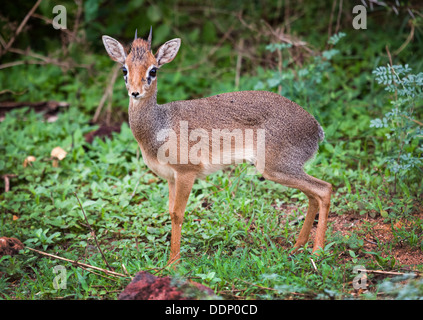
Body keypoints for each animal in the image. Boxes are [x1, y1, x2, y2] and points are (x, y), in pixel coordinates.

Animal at [102, 29, 332, 264]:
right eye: (124, 69)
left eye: (153, 70)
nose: (135, 92)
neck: (160, 125)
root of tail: (317, 128)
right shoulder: (170, 177)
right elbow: (170, 212)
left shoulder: (186, 173)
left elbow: (178, 214)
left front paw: (172, 264)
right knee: (313, 195)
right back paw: (297, 246)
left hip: (276, 168)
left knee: (324, 189)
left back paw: (317, 251)